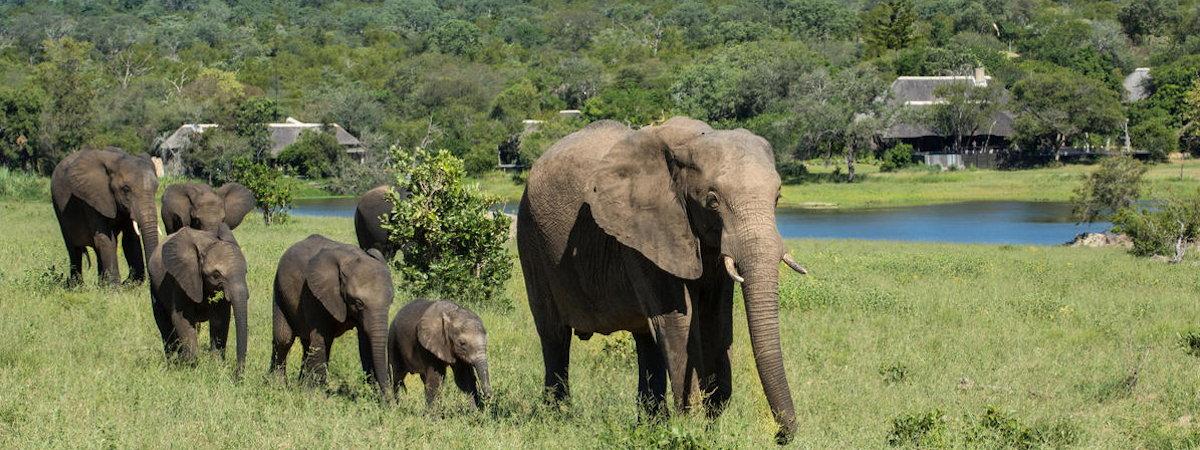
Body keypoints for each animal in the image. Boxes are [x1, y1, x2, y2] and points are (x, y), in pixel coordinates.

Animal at [51, 148, 162, 285]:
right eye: (126, 189)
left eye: (156, 188)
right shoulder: (92, 197)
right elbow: (105, 239)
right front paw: (115, 286)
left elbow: (130, 239)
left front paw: (130, 284)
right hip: (58, 206)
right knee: (73, 248)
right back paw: (76, 286)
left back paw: (101, 285)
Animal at [151, 225, 252, 376]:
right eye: (216, 275)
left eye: (245, 272)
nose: (237, 375)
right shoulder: (181, 278)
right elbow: (182, 318)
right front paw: (191, 368)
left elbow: (220, 319)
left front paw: (216, 366)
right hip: (154, 286)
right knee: (164, 324)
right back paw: (173, 364)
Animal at [271, 232, 393, 400]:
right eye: (358, 303)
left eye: (391, 301)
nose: (390, 402)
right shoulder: (314, 294)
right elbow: (322, 338)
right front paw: (314, 396)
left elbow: (365, 342)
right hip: (279, 290)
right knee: (284, 339)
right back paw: (277, 387)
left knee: (307, 343)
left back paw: (298, 386)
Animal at [516, 116, 806, 444]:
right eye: (712, 201)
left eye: (778, 197)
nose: (780, 436)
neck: (691, 142)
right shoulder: (646, 230)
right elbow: (678, 321)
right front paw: (691, 427)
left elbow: (715, 321)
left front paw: (711, 429)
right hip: (531, 236)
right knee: (554, 334)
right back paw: (558, 418)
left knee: (646, 340)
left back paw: (649, 424)